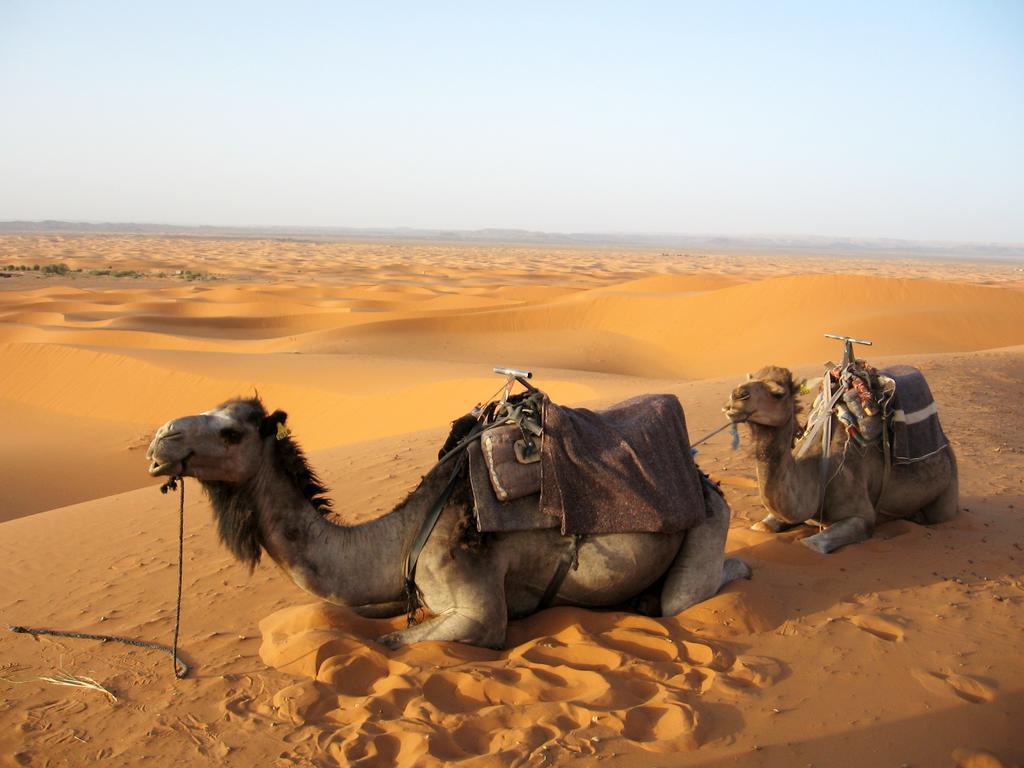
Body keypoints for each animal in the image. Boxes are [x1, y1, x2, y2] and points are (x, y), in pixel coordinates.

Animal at [146, 397, 753, 651]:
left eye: (231, 433)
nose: (160, 441)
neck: (400, 536)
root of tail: (700, 474)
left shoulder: (478, 607)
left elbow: (393, 642)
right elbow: (368, 615)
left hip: (708, 521)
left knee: (692, 592)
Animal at [724, 366, 954, 552]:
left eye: (778, 394)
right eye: (749, 379)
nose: (736, 395)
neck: (817, 471)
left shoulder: (861, 516)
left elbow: (811, 544)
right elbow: (760, 527)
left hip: (947, 488)